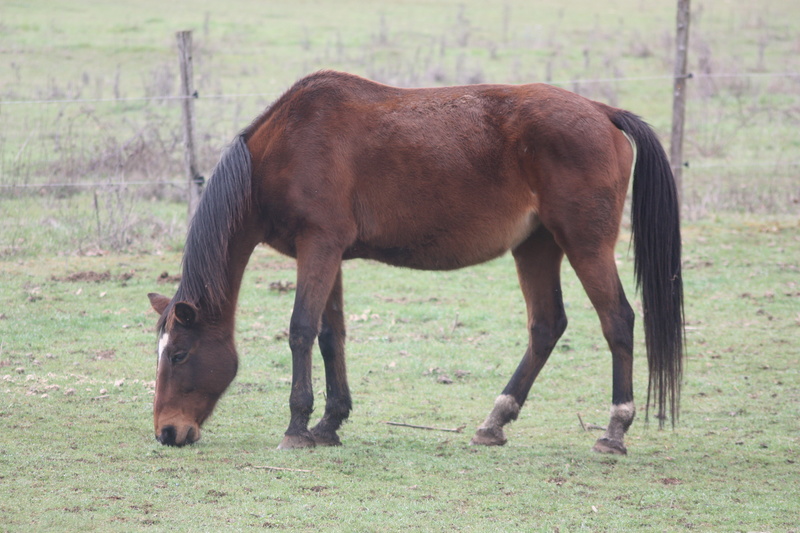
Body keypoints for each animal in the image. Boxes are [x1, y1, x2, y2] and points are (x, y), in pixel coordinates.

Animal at [148, 69, 680, 454]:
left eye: (179, 355)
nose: (167, 433)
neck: (282, 150)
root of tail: (602, 111)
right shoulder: (328, 252)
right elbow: (330, 335)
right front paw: (329, 423)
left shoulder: (318, 246)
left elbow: (300, 330)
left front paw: (297, 427)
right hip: (537, 246)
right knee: (547, 326)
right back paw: (494, 422)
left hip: (585, 245)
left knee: (618, 321)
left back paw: (614, 431)